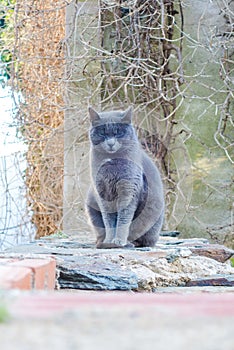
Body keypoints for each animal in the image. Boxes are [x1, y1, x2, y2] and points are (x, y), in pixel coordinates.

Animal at [86, 106, 165, 249]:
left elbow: (123, 219)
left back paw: (130, 243)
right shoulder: (103, 193)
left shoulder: (128, 191)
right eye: (102, 133)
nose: (111, 143)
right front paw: (110, 240)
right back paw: (102, 242)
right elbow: (108, 220)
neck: (111, 162)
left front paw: (118, 241)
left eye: (118, 133)